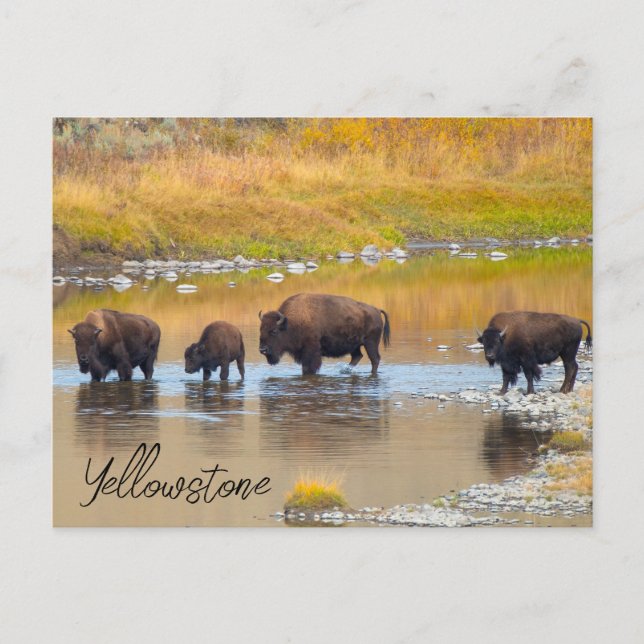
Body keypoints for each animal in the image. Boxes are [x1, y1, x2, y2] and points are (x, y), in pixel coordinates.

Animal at [258, 293, 390, 375]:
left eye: (274, 331)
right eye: (261, 329)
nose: (262, 349)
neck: (291, 322)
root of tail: (376, 310)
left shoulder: (311, 352)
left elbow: (308, 368)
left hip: (370, 343)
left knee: (375, 359)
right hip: (355, 345)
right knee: (357, 356)